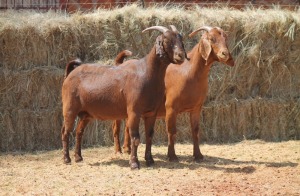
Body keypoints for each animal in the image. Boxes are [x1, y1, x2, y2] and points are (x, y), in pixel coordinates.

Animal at [61, 25, 186, 169]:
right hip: (69, 108)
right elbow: (135, 137)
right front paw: (134, 163)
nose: (180, 55)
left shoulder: (151, 113)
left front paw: (149, 160)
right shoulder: (134, 111)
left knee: (78, 132)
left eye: (180, 39)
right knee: (65, 132)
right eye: (166, 40)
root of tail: (70, 74)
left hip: (86, 113)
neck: (147, 72)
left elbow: (149, 136)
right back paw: (66, 159)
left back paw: (78, 157)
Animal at [113, 26, 233, 163]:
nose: (225, 53)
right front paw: (172, 156)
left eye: (225, 38)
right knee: (116, 127)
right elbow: (171, 131)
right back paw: (118, 150)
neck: (189, 72)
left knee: (127, 126)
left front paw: (198, 155)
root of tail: (120, 64)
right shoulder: (171, 107)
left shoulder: (196, 108)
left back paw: (127, 149)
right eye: (212, 39)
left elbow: (195, 131)